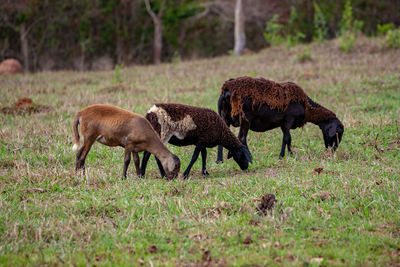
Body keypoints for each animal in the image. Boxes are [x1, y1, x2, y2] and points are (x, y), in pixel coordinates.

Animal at [217, 77, 346, 161]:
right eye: (338, 132)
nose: (333, 150)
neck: (307, 106)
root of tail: (226, 90)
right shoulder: (289, 119)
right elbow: (287, 138)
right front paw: (284, 156)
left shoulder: (283, 123)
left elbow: (287, 139)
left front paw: (289, 154)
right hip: (245, 118)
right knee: (242, 138)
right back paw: (249, 158)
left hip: (225, 116)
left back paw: (221, 159)